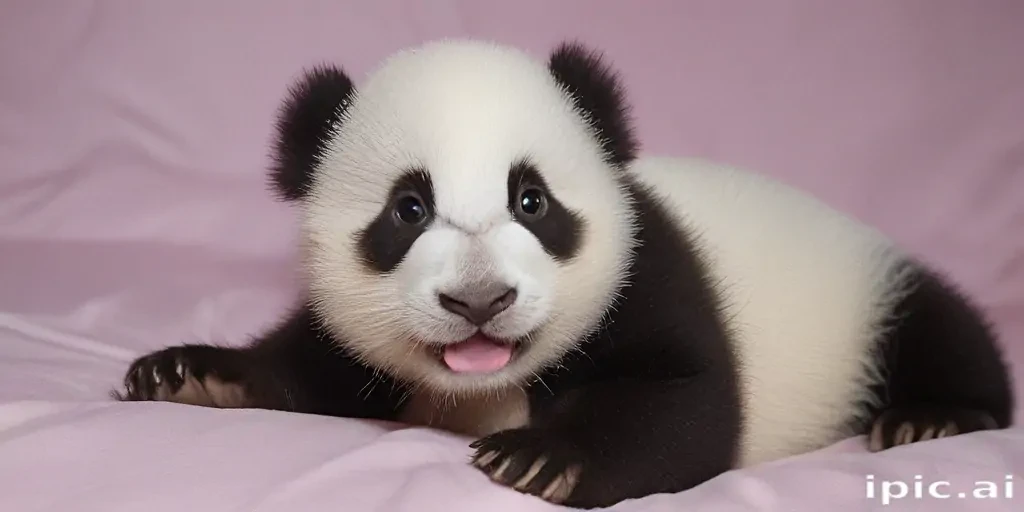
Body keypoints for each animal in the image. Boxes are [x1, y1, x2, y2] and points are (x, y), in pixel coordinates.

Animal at [118, 39, 1015, 509]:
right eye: (408, 209)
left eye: (532, 200)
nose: (480, 301)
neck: (485, 387)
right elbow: (314, 363)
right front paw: (193, 373)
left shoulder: (649, 271)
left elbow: (686, 401)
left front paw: (545, 457)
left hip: (876, 289)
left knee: (942, 326)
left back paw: (929, 417)